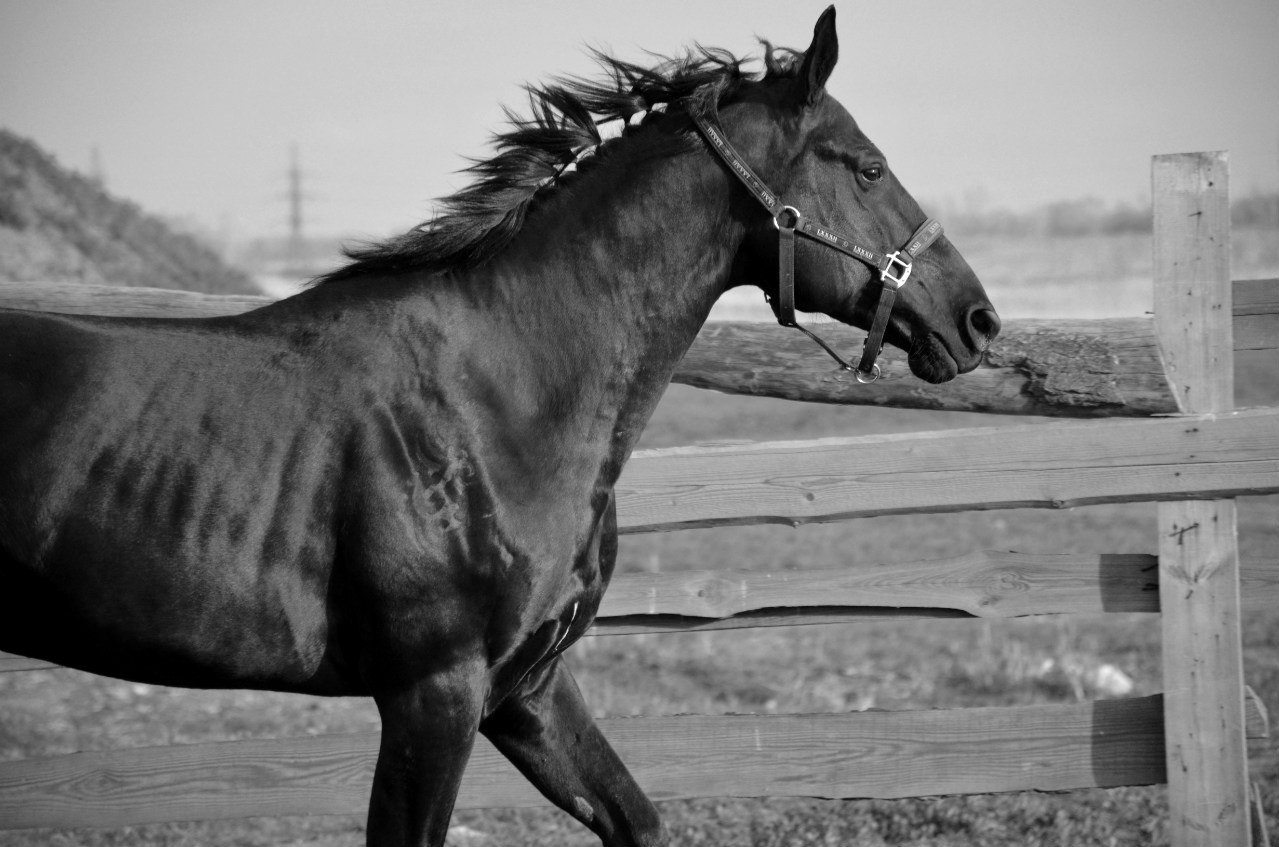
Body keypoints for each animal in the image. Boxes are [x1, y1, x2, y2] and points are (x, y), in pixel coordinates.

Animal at [0, 8, 997, 847]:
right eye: (865, 165)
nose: (977, 320)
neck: (498, 400)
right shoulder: (433, 694)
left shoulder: (527, 686)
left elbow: (637, 819)